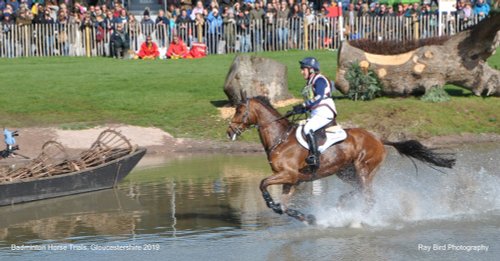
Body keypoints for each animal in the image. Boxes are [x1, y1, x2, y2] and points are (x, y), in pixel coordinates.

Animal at [227, 95, 458, 223]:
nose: (230, 131)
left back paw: (357, 218)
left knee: (369, 197)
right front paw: (308, 218)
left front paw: (270, 202)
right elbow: (283, 207)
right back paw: (341, 204)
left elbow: (262, 184)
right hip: (345, 172)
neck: (280, 138)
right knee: (359, 192)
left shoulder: (288, 175)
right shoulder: (292, 180)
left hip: (364, 169)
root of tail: (378, 138)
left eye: (240, 110)